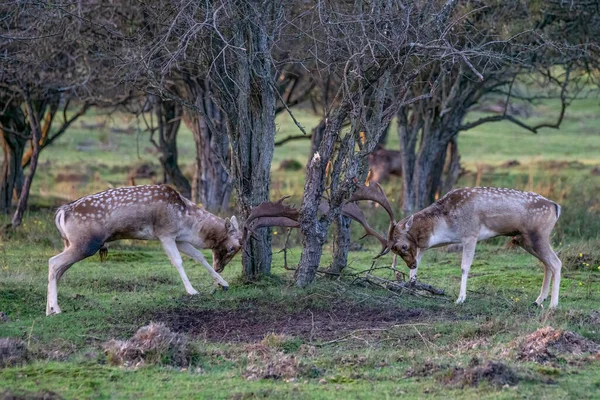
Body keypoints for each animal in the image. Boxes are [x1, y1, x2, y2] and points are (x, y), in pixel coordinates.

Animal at [48, 184, 241, 316]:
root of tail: (61, 213)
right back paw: (56, 309)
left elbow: (199, 256)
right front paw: (192, 291)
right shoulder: (165, 233)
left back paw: (49, 310)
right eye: (232, 248)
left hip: (71, 243)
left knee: (58, 269)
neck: (188, 223)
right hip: (85, 244)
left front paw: (223, 283)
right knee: (53, 262)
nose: (219, 268)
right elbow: (178, 261)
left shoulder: (178, 237)